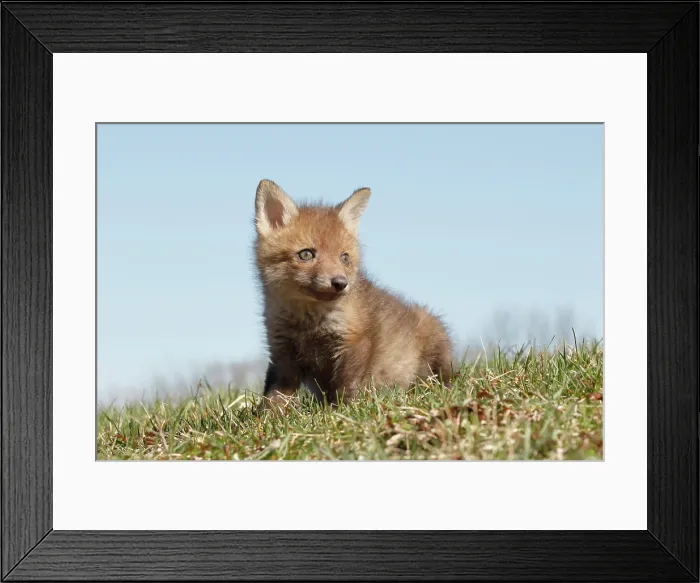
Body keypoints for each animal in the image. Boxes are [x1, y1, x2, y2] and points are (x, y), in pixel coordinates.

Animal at [254, 179, 454, 410]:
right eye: (306, 254)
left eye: (344, 257)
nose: (340, 283)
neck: (309, 323)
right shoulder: (282, 352)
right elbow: (275, 395)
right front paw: (267, 415)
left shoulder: (355, 341)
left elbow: (347, 386)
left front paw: (341, 411)